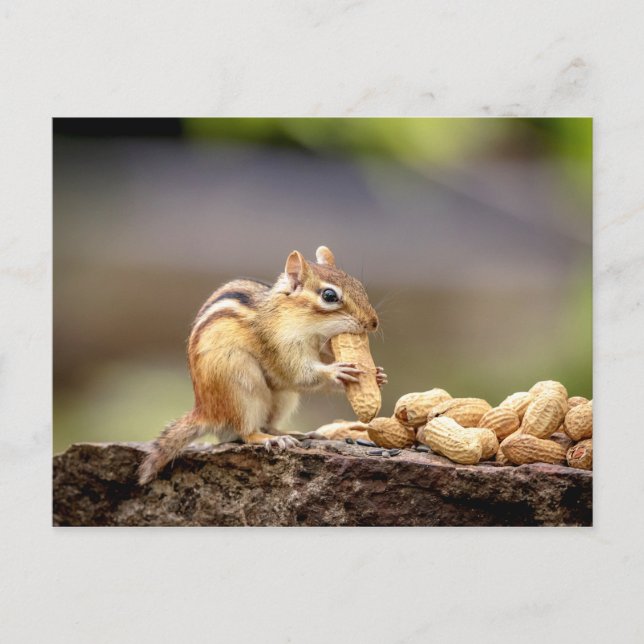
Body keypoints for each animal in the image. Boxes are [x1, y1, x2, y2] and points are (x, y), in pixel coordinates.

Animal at [138, 245, 387, 484]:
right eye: (329, 295)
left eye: (359, 285)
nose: (373, 323)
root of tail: (205, 411)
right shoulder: (279, 345)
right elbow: (300, 374)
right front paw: (336, 371)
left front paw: (378, 375)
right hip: (241, 386)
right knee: (247, 433)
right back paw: (271, 439)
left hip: (283, 397)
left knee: (268, 423)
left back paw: (293, 434)